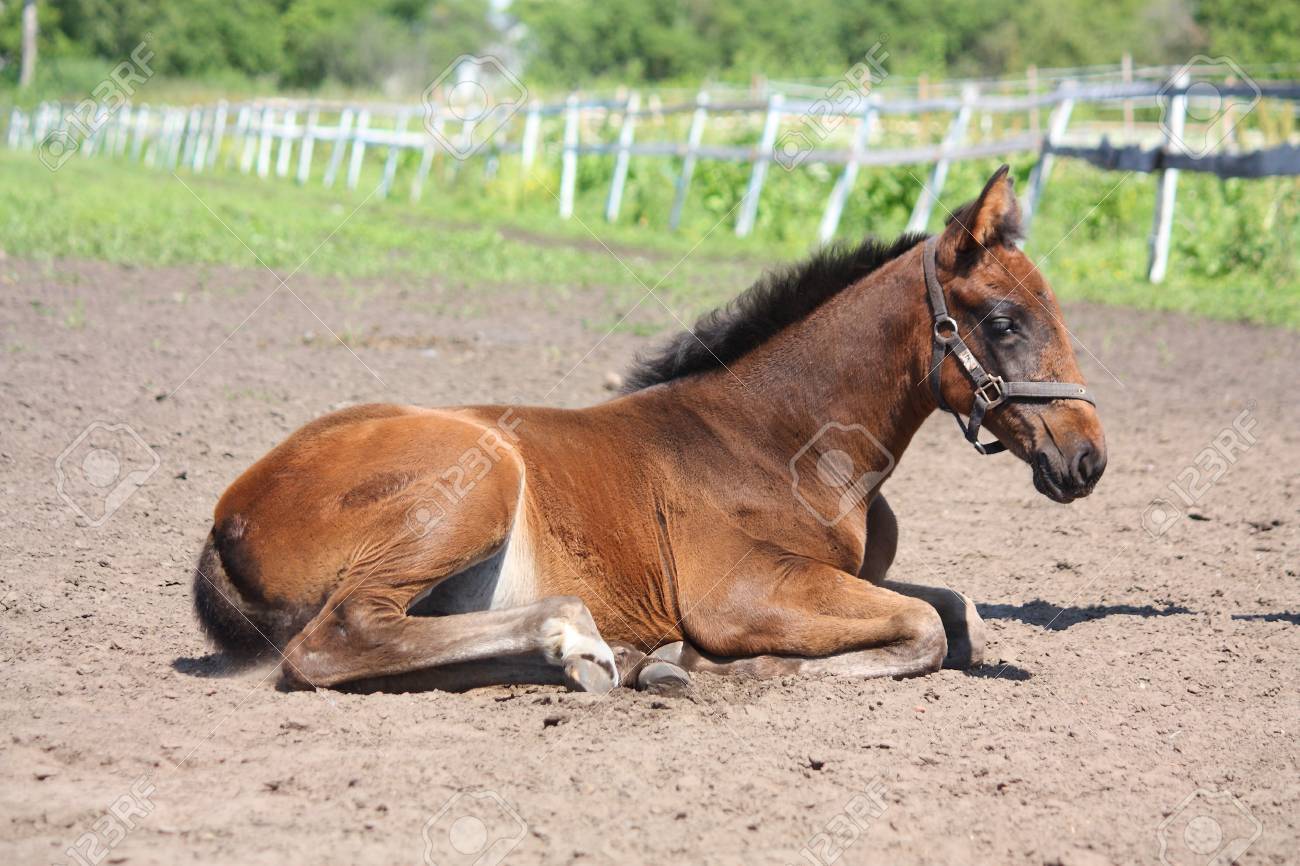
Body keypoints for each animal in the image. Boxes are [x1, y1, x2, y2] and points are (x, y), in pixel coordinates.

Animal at [190, 166, 1106, 694]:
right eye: (1004, 321)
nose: (1087, 459)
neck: (783, 443)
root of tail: (229, 513)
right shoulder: (740, 590)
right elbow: (923, 630)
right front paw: (726, 666)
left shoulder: (844, 575)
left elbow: (961, 612)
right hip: (477, 478)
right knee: (340, 638)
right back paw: (580, 640)